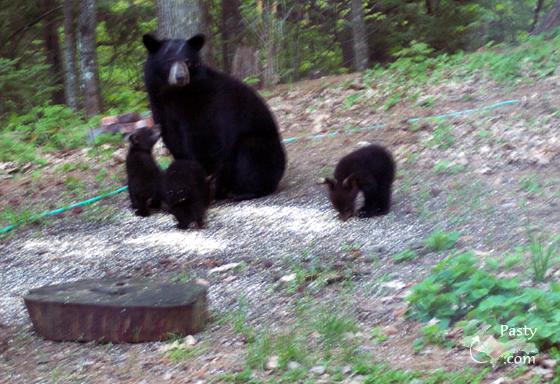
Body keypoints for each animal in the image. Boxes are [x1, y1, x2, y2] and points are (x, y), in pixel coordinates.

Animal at [142, 33, 286, 201]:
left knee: (251, 156)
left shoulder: (205, 103)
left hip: (263, 148)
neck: (174, 95)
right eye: (169, 60)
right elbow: (173, 139)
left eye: (188, 61)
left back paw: (241, 191)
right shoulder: (160, 108)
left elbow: (205, 137)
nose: (181, 77)